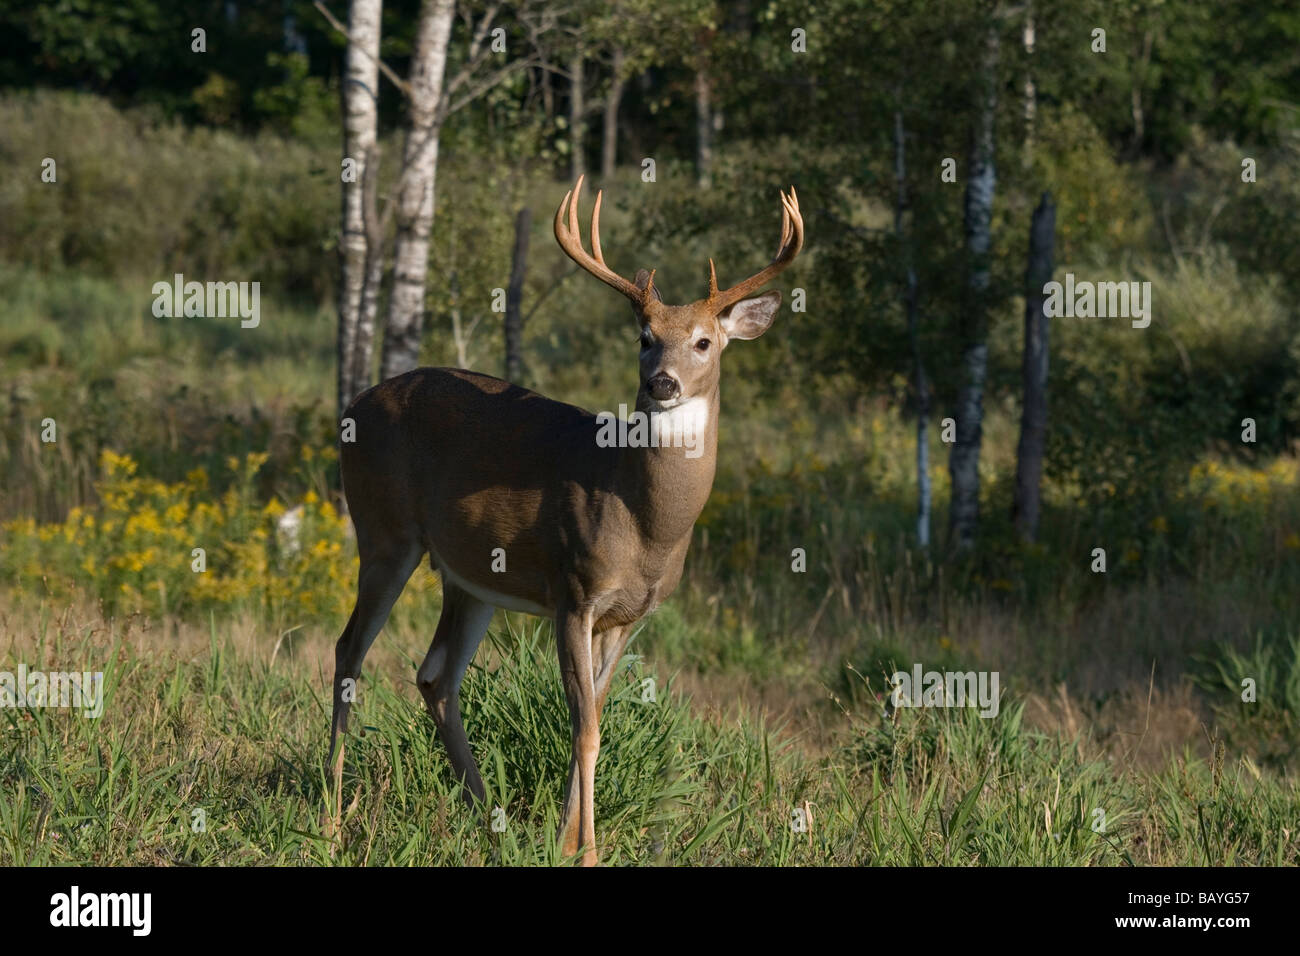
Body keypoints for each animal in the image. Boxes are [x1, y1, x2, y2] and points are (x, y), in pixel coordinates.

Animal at [327, 174, 800, 868]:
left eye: (704, 342)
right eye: (643, 337)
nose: (662, 383)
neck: (645, 521)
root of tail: (352, 406)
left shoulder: (628, 614)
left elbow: (596, 712)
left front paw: (564, 840)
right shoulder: (574, 590)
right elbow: (585, 725)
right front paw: (587, 850)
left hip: (469, 577)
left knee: (435, 674)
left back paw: (487, 817)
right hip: (384, 532)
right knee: (349, 652)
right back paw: (332, 820)